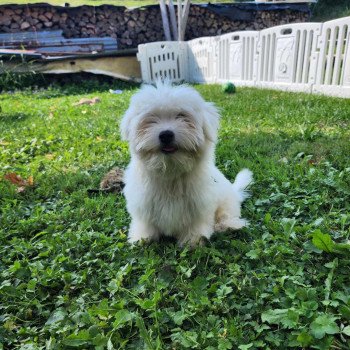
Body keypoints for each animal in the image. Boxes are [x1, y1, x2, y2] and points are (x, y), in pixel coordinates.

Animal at [120, 82, 252, 246]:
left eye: (181, 116)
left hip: (227, 200)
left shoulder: (200, 206)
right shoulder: (143, 204)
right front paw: (142, 237)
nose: (166, 135)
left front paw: (193, 240)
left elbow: (195, 224)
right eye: (151, 119)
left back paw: (229, 225)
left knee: (227, 213)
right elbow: (145, 223)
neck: (170, 172)